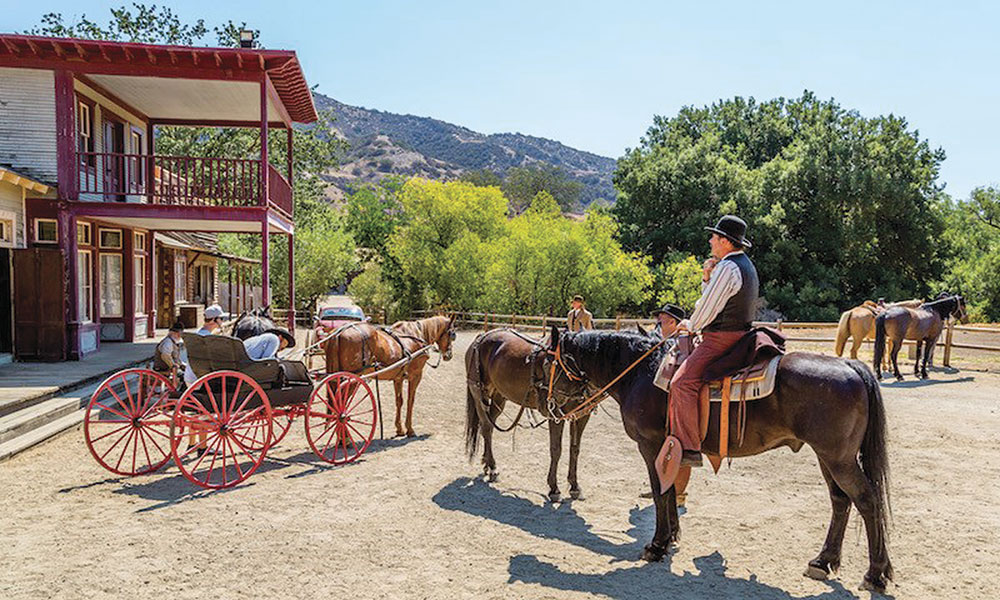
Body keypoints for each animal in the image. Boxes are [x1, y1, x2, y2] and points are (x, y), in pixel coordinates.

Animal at [324, 314, 458, 436]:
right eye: (452, 334)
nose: (449, 355)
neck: (417, 335)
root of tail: (338, 333)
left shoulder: (398, 378)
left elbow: (399, 401)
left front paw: (399, 429)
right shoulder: (415, 376)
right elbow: (410, 400)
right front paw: (410, 429)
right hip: (352, 379)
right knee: (341, 405)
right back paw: (345, 436)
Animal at [464, 328, 588, 502]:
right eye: (547, 364)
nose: (550, 398)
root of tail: (482, 337)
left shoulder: (581, 416)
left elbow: (574, 449)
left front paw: (575, 486)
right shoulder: (557, 416)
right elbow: (556, 450)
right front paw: (554, 489)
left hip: (499, 396)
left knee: (487, 427)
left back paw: (487, 464)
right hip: (478, 393)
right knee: (487, 427)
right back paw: (493, 468)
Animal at [556, 328, 900, 596]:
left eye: (552, 362)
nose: (555, 406)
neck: (641, 373)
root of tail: (850, 365)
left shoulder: (651, 446)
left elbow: (660, 492)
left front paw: (657, 545)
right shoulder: (671, 448)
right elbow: (671, 492)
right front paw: (672, 537)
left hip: (838, 459)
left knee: (867, 501)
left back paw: (875, 574)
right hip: (827, 457)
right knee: (840, 500)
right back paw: (823, 561)